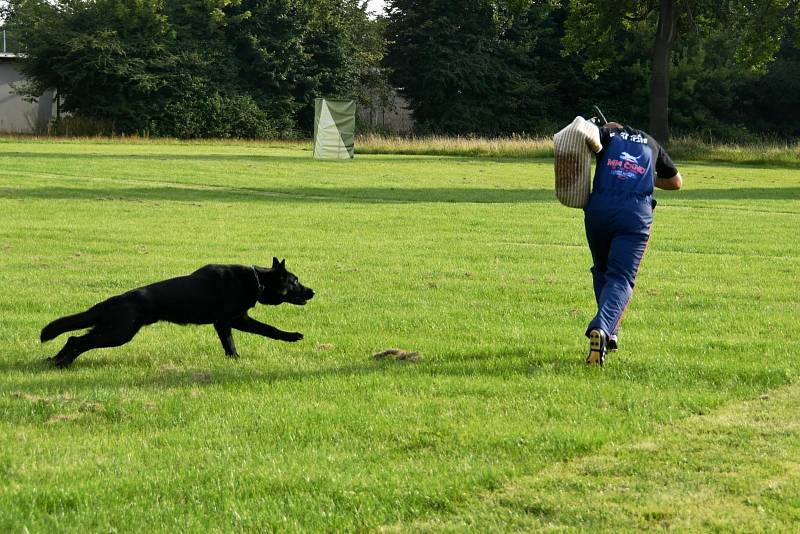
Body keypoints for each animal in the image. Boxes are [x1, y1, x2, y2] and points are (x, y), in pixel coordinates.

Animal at [40, 258, 314, 368]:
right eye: (295, 281)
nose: (313, 291)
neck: (256, 281)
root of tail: (112, 301)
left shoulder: (227, 322)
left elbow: (234, 342)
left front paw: (234, 359)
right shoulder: (233, 320)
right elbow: (266, 330)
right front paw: (292, 336)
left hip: (112, 331)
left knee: (73, 338)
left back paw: (55, 360)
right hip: (119, 333)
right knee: (78, 340)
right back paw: (62, 363)